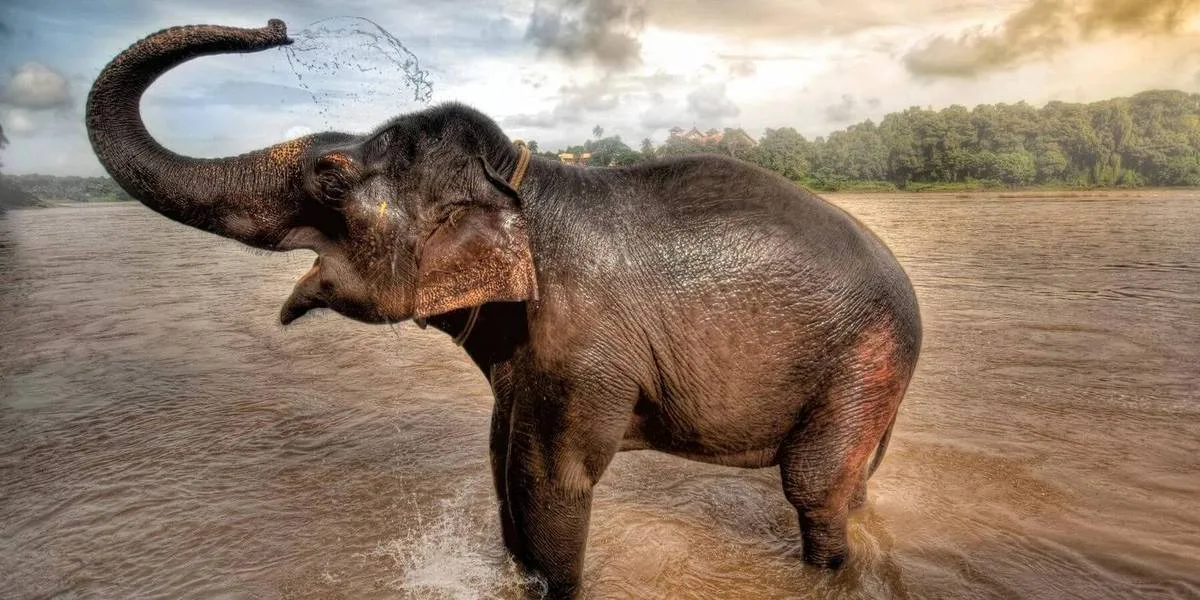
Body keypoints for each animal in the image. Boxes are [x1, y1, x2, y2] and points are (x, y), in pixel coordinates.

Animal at [85, 19, 922, 598]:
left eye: (329, 177)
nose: (279, 27)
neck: (523, 178)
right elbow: (500, 466)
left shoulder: (585, 348)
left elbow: (548, 484)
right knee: (851, 480)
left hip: (865, 357)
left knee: (812, 485)